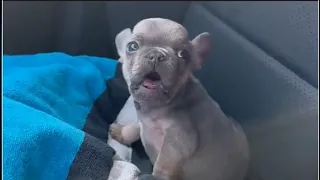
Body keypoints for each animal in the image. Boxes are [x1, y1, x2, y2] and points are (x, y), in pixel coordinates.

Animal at [110, 17, 250, 180]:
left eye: (184, 54)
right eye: (132, 46)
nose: (156, 55)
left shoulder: (178, 140)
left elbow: (163, 162)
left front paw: (155, 177)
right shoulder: (145, 121)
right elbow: (135, 127)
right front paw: (123, 132)